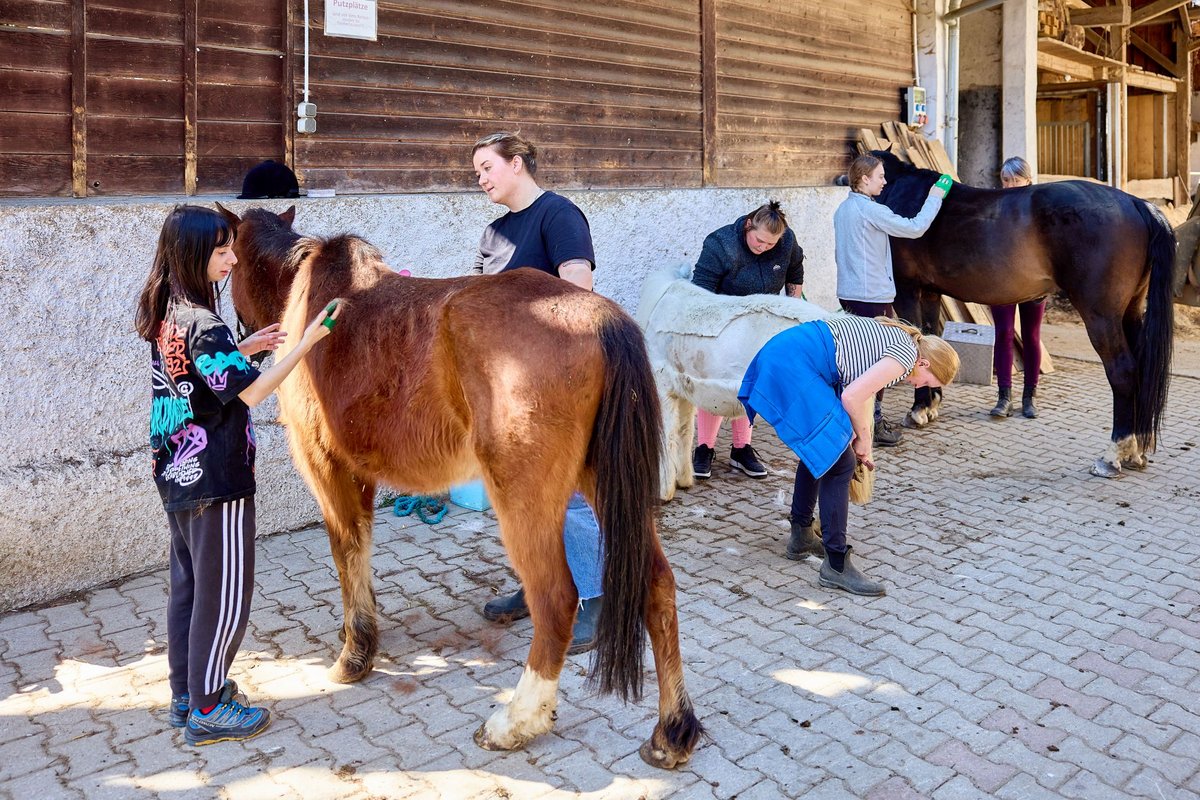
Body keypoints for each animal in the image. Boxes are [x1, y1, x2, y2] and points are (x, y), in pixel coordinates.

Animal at [215, 204, 702, 768]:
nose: (245, 341)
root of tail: (600, 318)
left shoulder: (327, 468)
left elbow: (346, 550)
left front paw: (354, 654)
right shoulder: (361, 476)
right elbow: (361, 551)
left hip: (525, 500)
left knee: (555, 599)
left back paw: (515, 722)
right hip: (603, 484)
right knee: (657, 584)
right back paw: (672, 731)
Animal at [637, 265, 829, 499]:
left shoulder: (664, 387)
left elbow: (668, 437)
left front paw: (663, 492)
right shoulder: (683, 390)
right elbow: (684, 432)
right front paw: (683, 481)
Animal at [872, 150, 1175, 478]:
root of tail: (1138, 204)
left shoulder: (907, 289)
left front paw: (918, 410)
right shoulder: (930, 293)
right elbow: (931, 341)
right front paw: (929, 405)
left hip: (1102, 317)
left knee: (1123, 371)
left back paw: (1113, 454)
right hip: (1130, 311)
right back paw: (1136, 450)